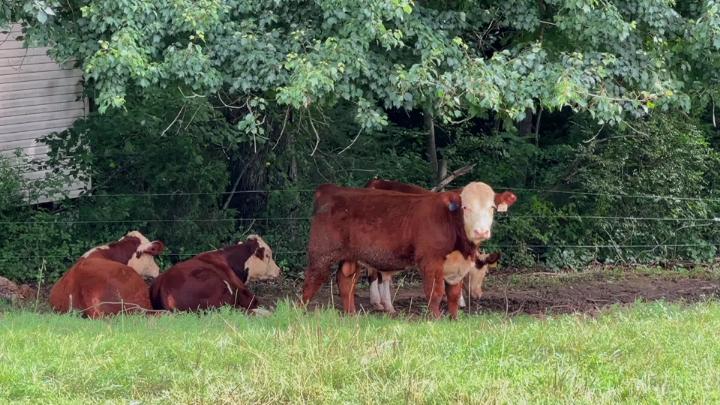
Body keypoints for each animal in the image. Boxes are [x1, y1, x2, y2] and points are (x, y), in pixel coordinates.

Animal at [301, 182, 516, 319]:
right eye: (465, 207)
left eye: (492, 207)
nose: (481, 231)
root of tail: (330, 189)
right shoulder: (430, 261)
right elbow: (435, 292)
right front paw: (436, 320)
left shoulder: (456, 267)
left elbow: (453, 294)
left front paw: (454, 319)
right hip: (321, 253)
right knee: (312, 281)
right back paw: (300, 313)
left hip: (350, 256)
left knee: (346, 282)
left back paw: (351, 315)